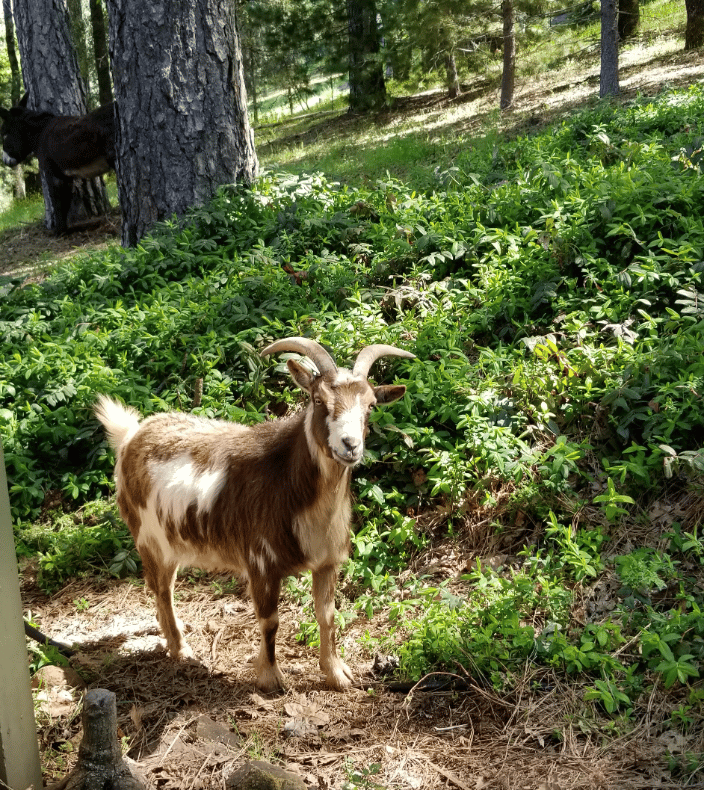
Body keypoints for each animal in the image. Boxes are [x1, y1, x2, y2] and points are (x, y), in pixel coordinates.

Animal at [94, 337, 415, 691]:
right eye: (318, 399)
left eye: (370, 405)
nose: (350, 445)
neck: (289, 482)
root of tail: (131, 435)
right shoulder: (261, 562)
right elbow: (269, 620)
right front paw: (270, 677)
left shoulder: (327, 561)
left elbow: (327, 615)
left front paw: (336, 673)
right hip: (148, 538)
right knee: (161, 591)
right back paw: (181, 650)